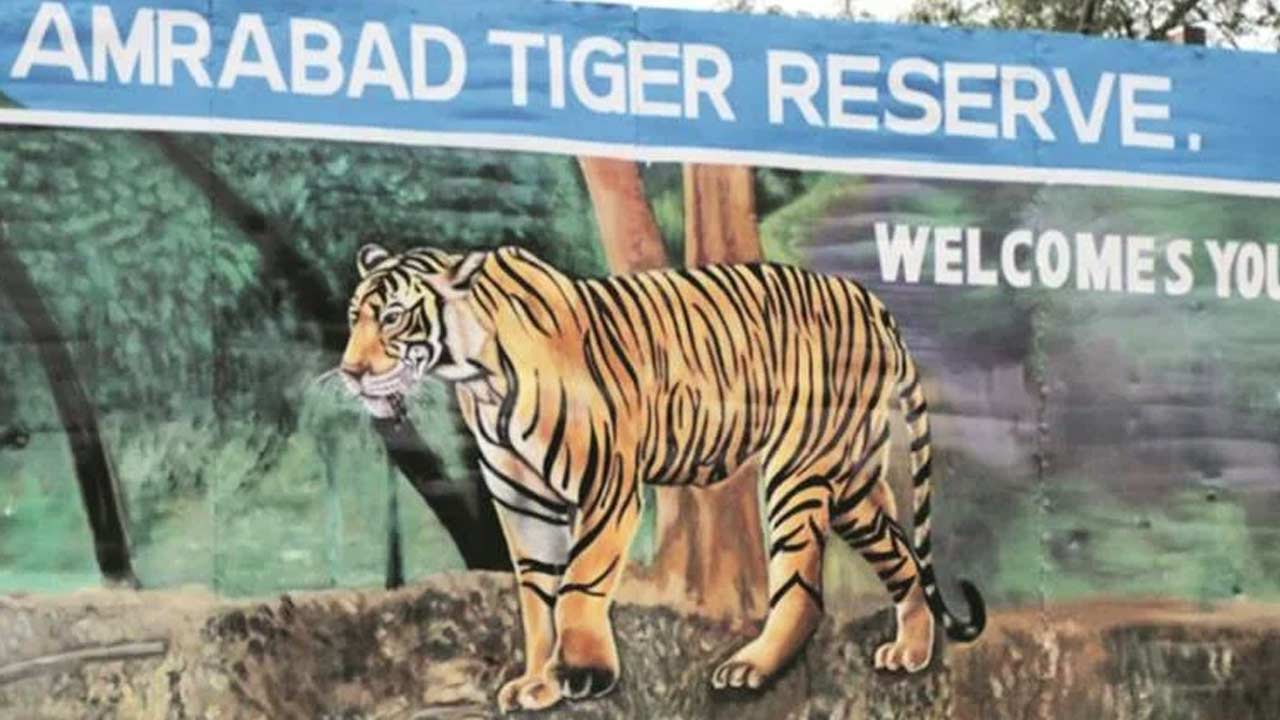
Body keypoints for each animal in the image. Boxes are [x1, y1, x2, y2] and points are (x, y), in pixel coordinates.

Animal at [340, 243, 985, 713]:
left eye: (392, 318)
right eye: (353, 319)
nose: (349, 371)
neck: (477, 375)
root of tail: (870, 301)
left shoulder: (605, 485)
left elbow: (577, 586)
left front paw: (583, 673)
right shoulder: (524, 502)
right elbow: (537, 599)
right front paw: (539, 682)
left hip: (800, 465)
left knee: (805, 586)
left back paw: (752, 666)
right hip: (850, 474)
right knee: (901, 551)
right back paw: (912, 649)